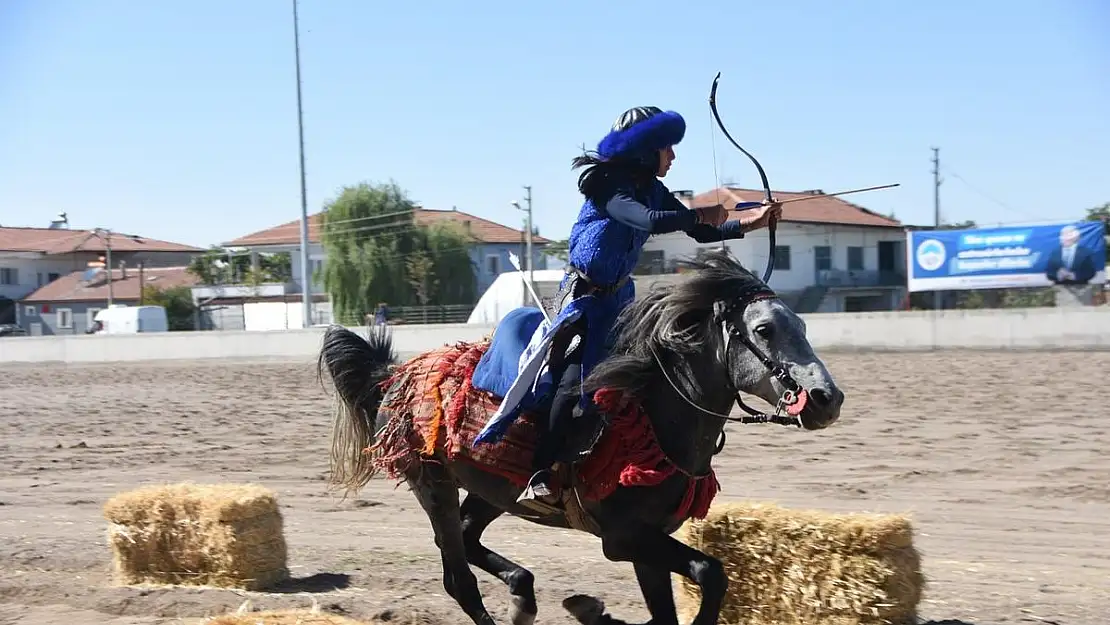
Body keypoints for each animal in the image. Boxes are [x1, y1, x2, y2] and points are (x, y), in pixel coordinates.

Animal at [317, 249, 843, 625]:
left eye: (800, 324)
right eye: (764, 329)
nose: (826, 398)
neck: (652, 417)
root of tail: (394, 374)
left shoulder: (649, 544)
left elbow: (670, 608)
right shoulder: (623, 537)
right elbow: (708, 573)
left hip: (493, 488)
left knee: (467, 538)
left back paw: (524, 593)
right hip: (433, 483)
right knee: (458, 579)